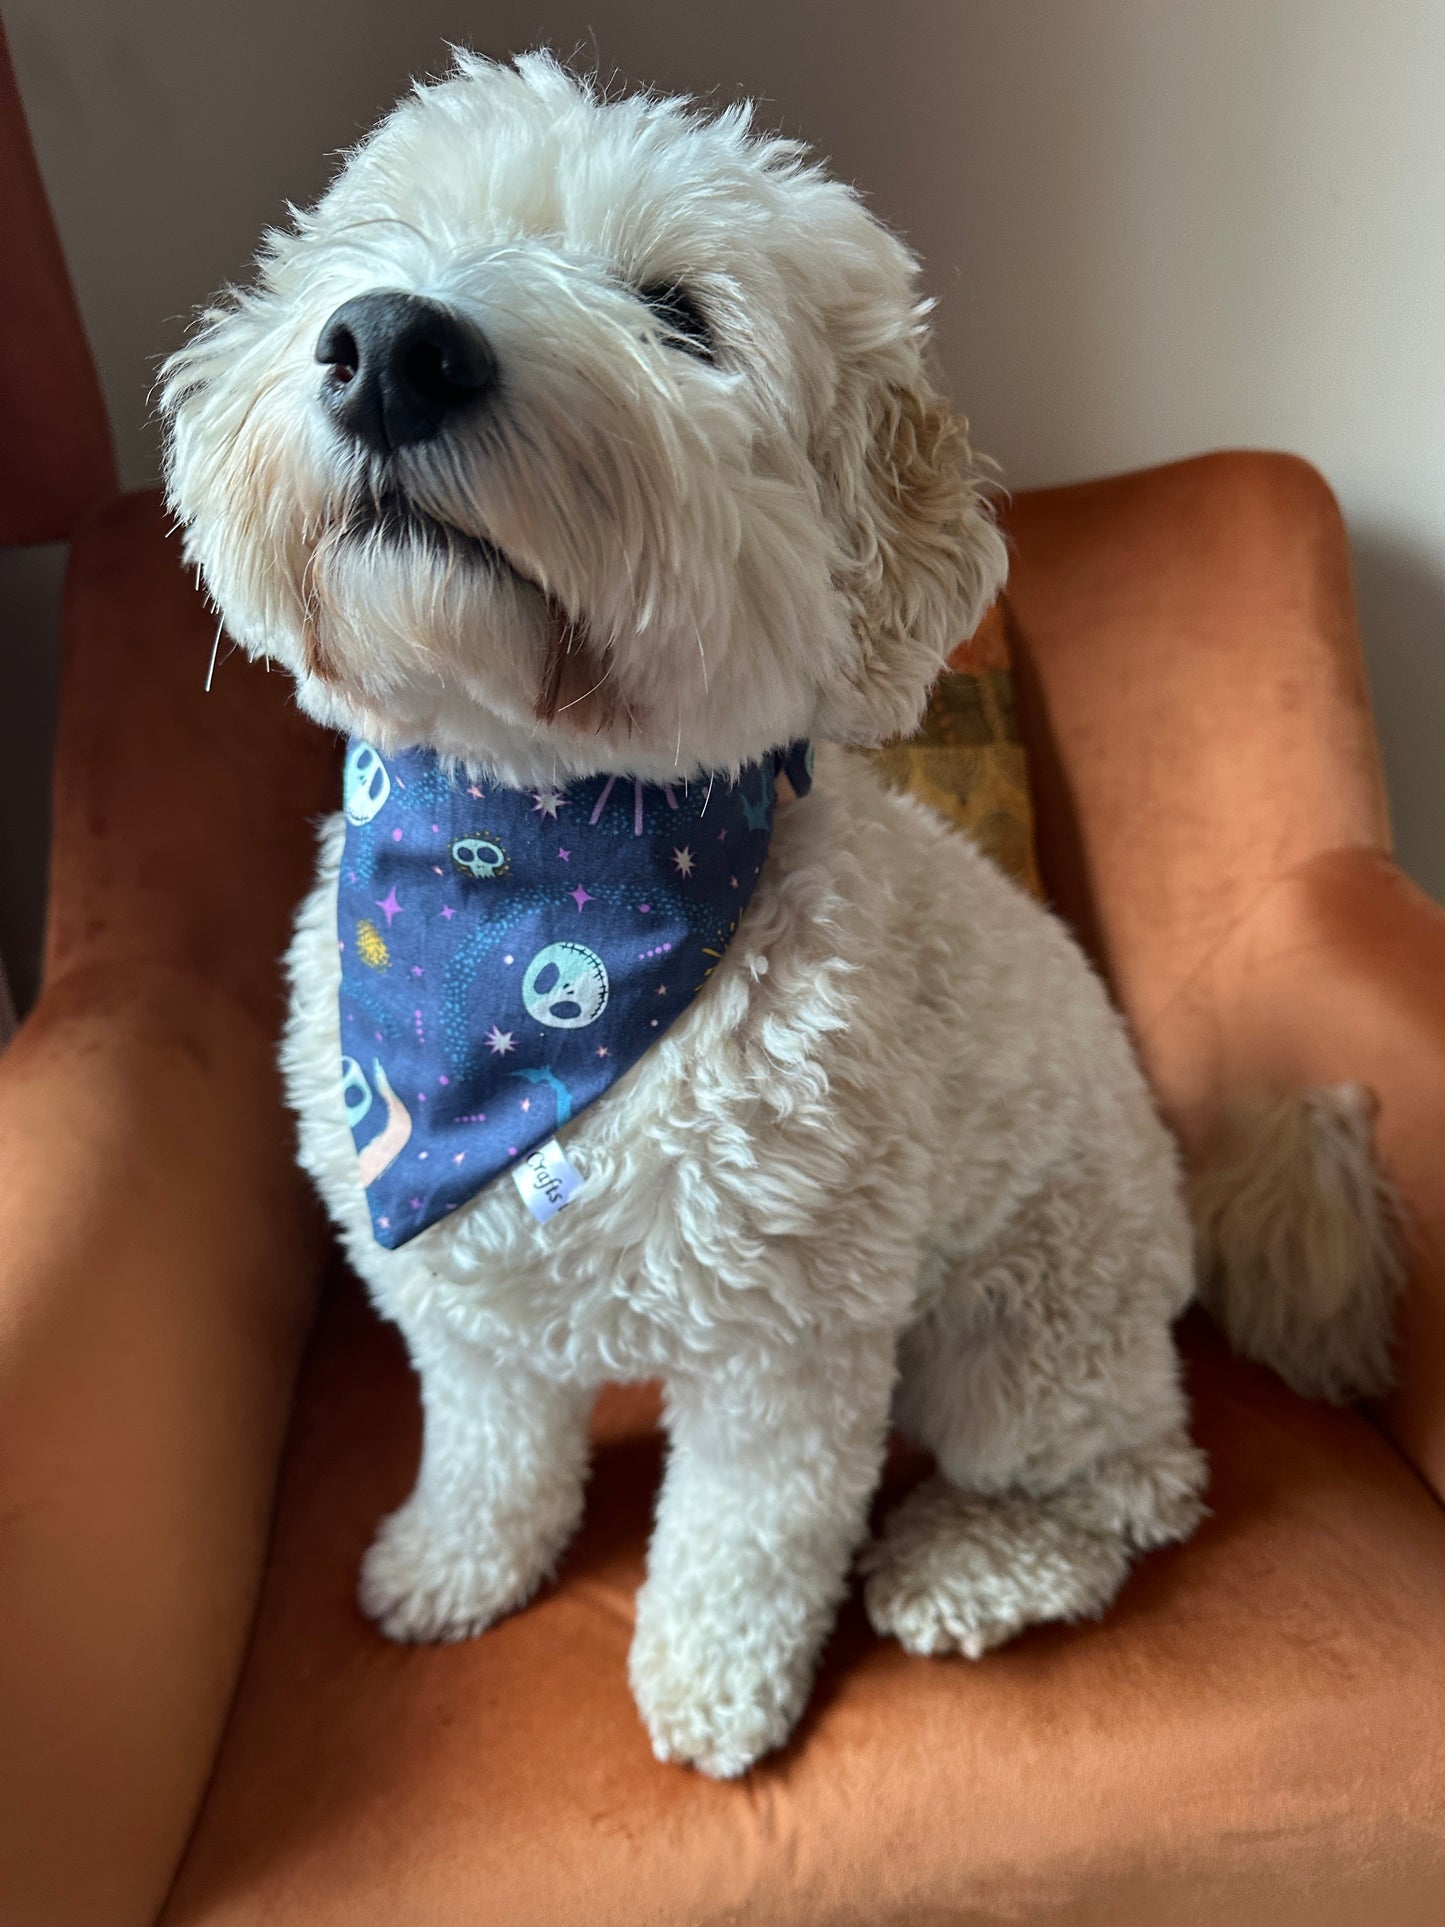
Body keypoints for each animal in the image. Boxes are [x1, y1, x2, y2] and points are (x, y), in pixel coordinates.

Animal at [160, 52, 1402, 1772]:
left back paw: (974, 1561)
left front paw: (712, 1686)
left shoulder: (786, 1336)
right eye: (387, 237)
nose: (395, 346)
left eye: (679, 313)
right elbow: (486, 1443)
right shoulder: (459, 1291)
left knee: (1134, 1478)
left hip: (1015, 1325)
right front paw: (458, 1560)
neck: (538, 870)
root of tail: (1186, 1207)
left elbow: (746, 1531)